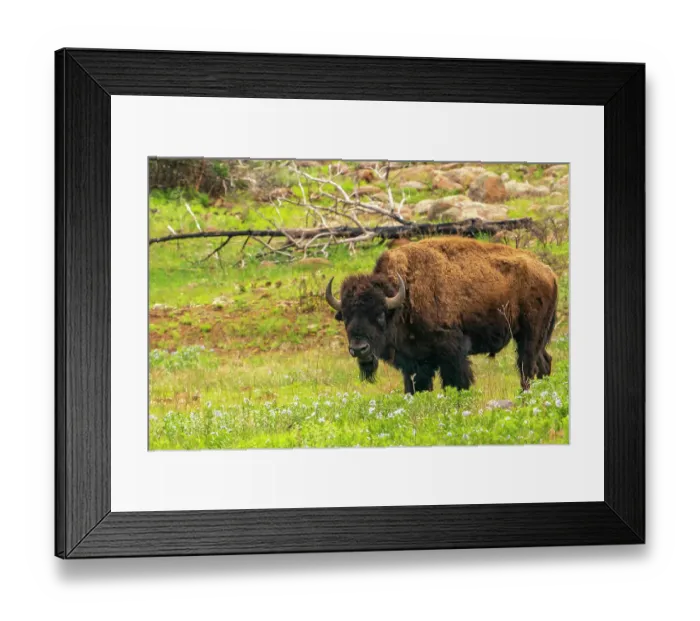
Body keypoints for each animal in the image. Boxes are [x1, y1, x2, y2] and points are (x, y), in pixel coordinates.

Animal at [325, 237, 558, 393]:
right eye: (346, 316)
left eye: (380, 313)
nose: (359, 349)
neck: (405, 295)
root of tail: (548, 272)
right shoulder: (414, 361)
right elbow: (416, 386)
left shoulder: (452, 352)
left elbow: (456, 381)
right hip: (536, 337)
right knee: (543, 362)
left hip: (530, 335)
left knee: (527, 366)